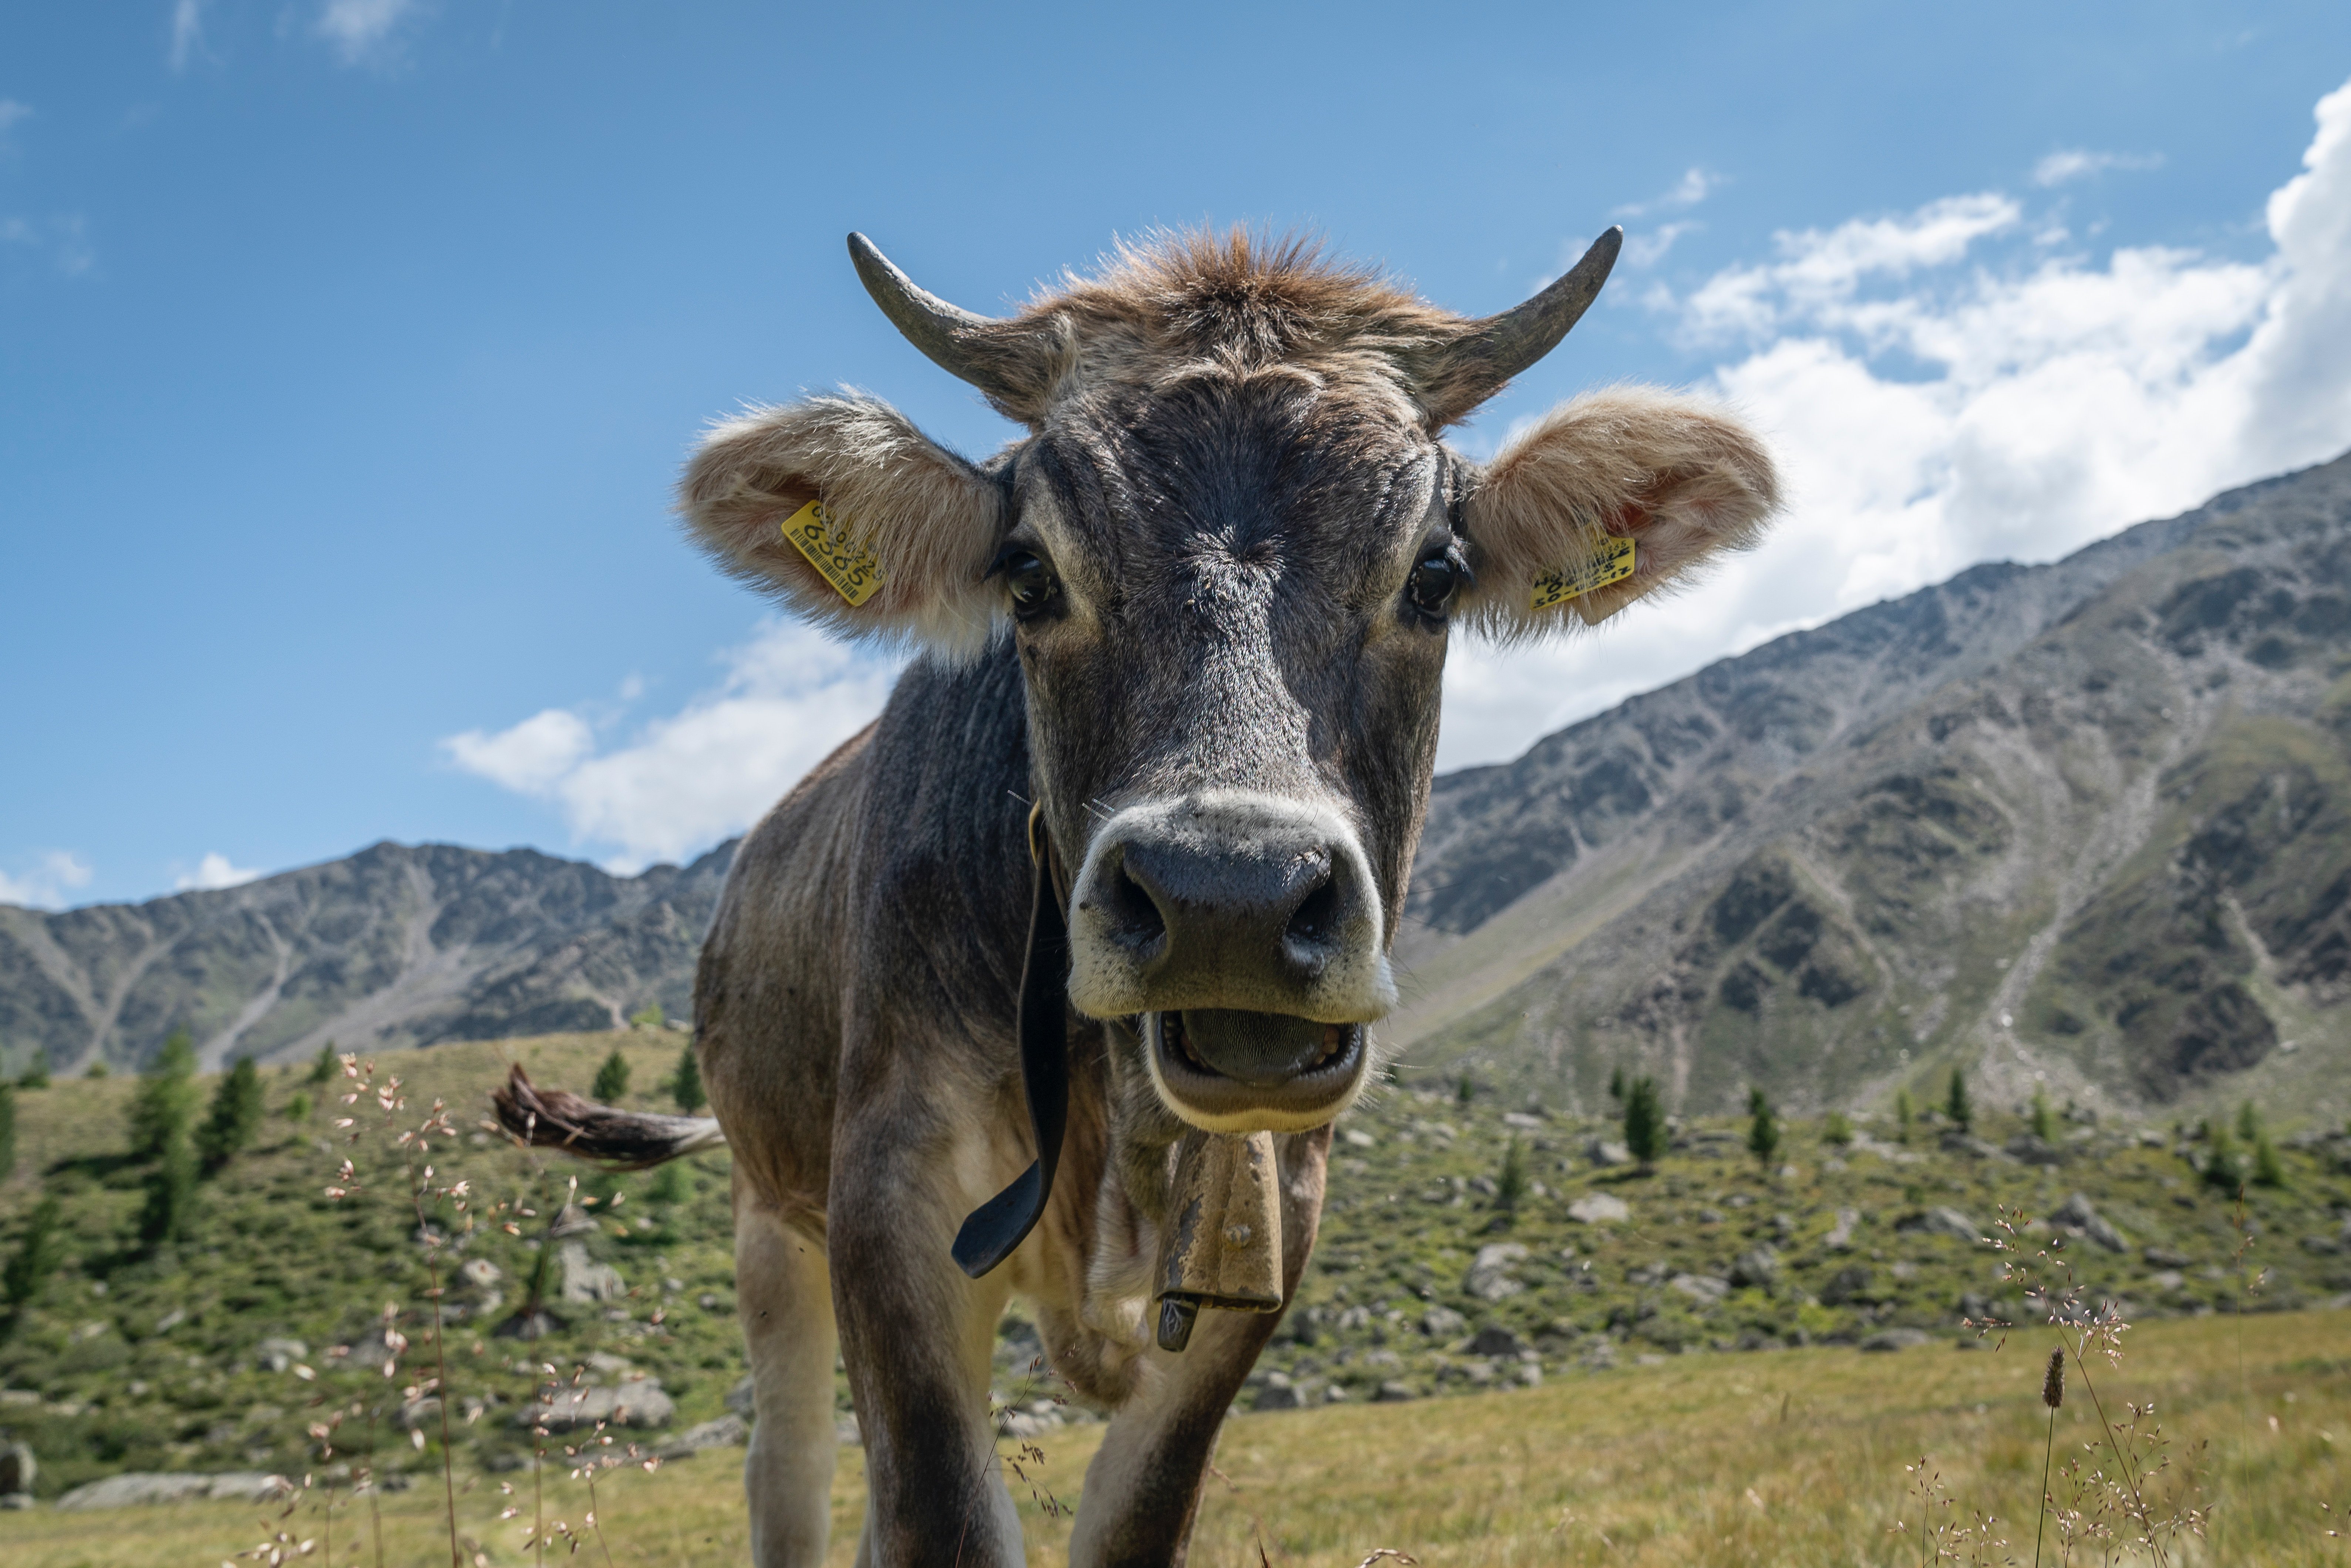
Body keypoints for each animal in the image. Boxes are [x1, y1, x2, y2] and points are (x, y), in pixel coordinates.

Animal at [501, 223, 1777, 1568]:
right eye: (1026, 573)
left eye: (1434, 575)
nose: (1231, 895)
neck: (1123, 1126)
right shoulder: (890, 1197)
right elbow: (942, 1513)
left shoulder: (1265, 1230)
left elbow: (1133, 1513)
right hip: (767, 1211)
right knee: (788, 1464)